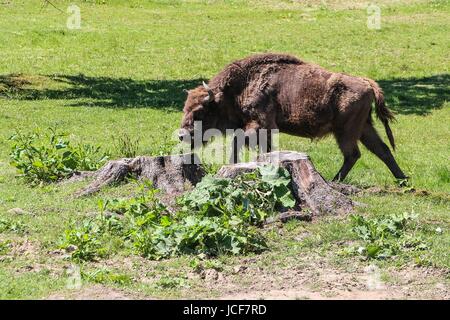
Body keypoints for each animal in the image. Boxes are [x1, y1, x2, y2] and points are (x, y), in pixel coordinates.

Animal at [179, 53, 408, 181]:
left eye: (200, 111)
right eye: (185, 107)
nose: (182, 135)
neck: (237, 89)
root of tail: (368, 83)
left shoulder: (260, 124)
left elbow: (240, 143)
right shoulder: (263, 130)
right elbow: (261, 150)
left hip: (346, 131)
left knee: (353, 154)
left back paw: (335, 180)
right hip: (364, 128)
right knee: (382, 150)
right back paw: (403, 180)